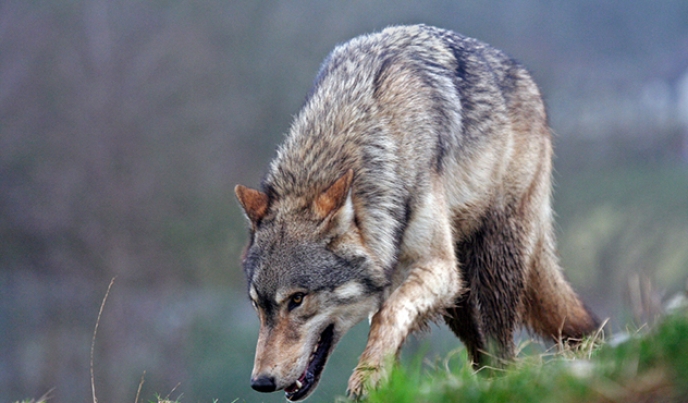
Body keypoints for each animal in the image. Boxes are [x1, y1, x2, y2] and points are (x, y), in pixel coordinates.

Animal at [234, 25, 600, 400]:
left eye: (297, 299)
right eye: (258, 305)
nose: (261, 382)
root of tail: (524, 76)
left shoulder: (438, 267)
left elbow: (388, 314)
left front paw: (367, 377)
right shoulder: (421, 275)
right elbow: (388, 323)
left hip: (493, 260)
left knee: (503, 347)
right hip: (461, 291)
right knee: (480, 351)